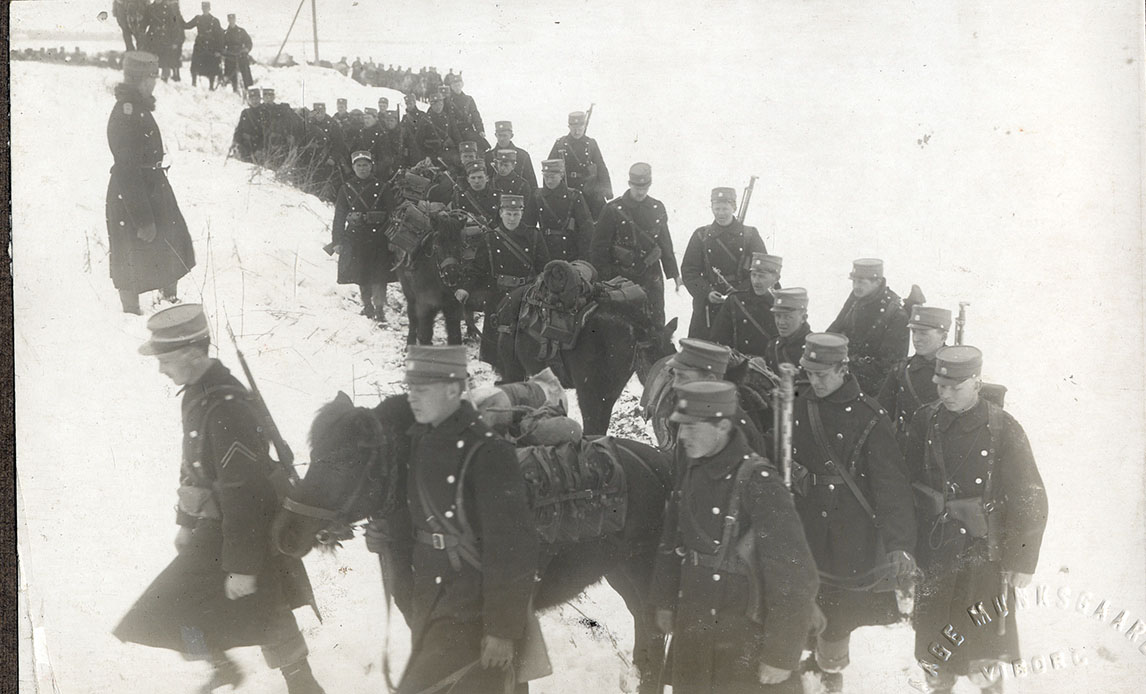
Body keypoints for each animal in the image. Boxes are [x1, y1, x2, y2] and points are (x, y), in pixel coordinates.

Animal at [272, 393, 673, 694]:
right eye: (316, 454)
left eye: (349, 460)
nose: (286, 533)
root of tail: (663, 465)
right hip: (623, 575)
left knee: (654, 639)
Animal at [497, 292, 673, 435]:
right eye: (651, 359)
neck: (605, 344)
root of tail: (504, 303)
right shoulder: (586, 394)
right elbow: (591, 429)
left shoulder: (608, 396)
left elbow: (600, 428)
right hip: (513, 368)